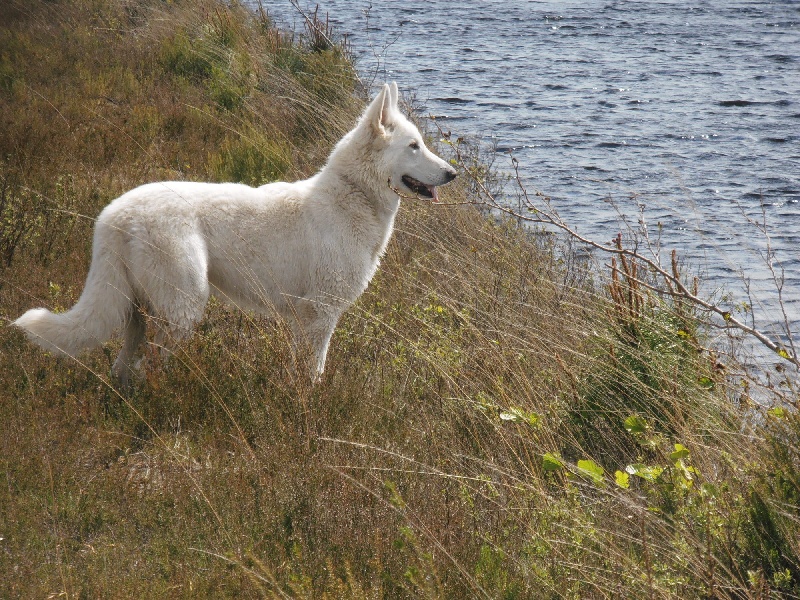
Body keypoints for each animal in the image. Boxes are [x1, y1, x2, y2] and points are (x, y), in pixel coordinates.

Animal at [10, 83, 456, 384]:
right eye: (414, 146)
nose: (453, 174)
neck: (352, 195)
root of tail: (115, 214)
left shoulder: (305, 318)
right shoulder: (321, 314)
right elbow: (315, 372)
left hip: (136, 309)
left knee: (125, 365)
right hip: (184, 306)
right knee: (150, 366)